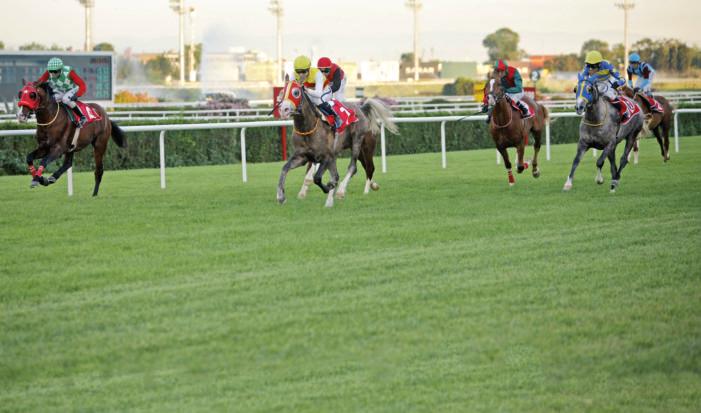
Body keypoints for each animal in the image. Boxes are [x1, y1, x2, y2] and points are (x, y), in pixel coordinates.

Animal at [274, 77, 394, 206]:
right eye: (282, 92)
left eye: (296, 92)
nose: (283, 110)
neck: (308, 128)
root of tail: (361, 108)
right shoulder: (302, 157)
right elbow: (284, 168)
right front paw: (281, 196)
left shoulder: (326, 156)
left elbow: (318, 178)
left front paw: (328, 187)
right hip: (357, 152)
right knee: (364, 168)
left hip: (359, 143)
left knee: (354, 167)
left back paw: (342, 191)